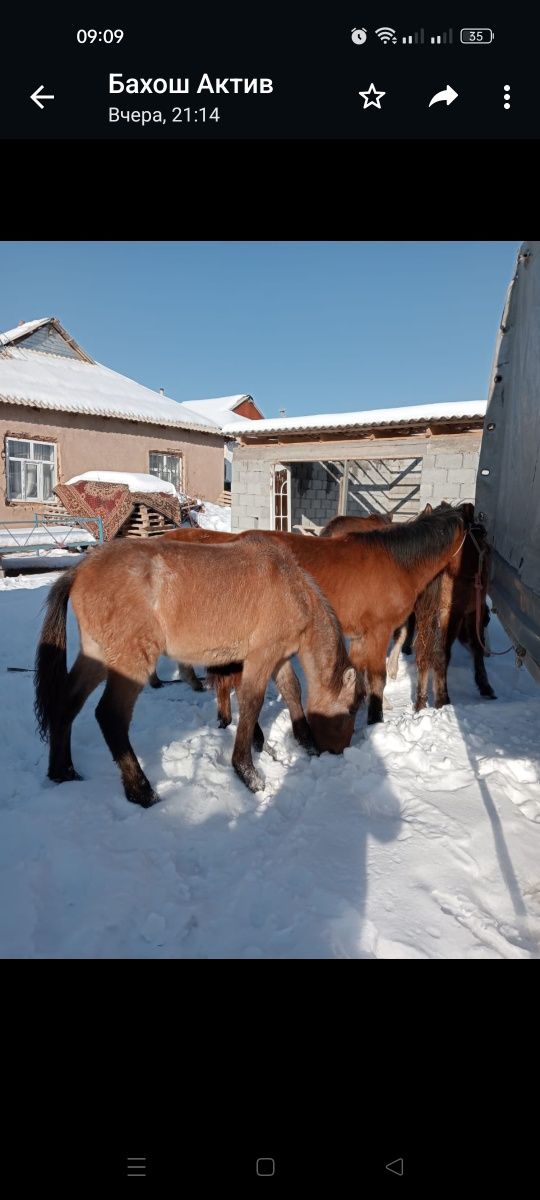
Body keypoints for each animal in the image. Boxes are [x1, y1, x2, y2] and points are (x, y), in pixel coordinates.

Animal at [35, 537, 360, 806]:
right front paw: (248, 773)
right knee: (111, 716)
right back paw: (142, 792)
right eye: (350, 711)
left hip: (96, 656)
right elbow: (251, 703)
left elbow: (292, 691)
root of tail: (80, 570)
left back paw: (63, 772)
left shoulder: (278, 658)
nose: (339, 751)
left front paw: (305, 744)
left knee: (66, 705)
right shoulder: (261, 657)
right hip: (131, 662)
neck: (292, 588)